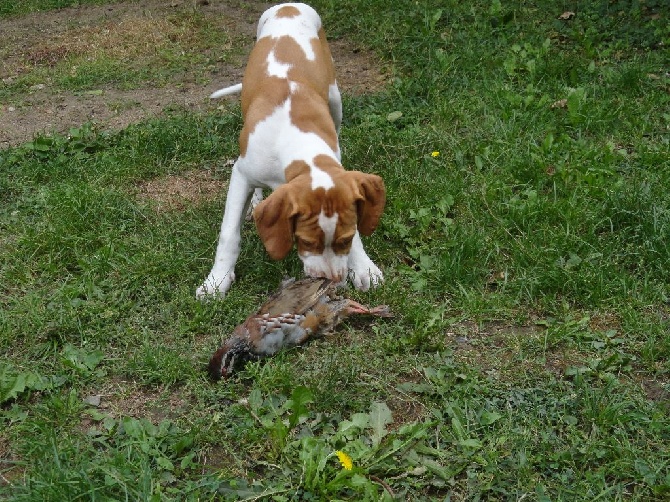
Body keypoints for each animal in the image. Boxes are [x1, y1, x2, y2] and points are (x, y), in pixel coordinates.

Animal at [197, 2, 386, 298]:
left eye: (344, 240)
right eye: (306, 241)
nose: (331, 281)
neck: (300, 146)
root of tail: (289, 6)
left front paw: (364, 267)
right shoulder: (240, 174)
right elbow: (229, 233)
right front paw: (217, 281)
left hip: (335, 99)